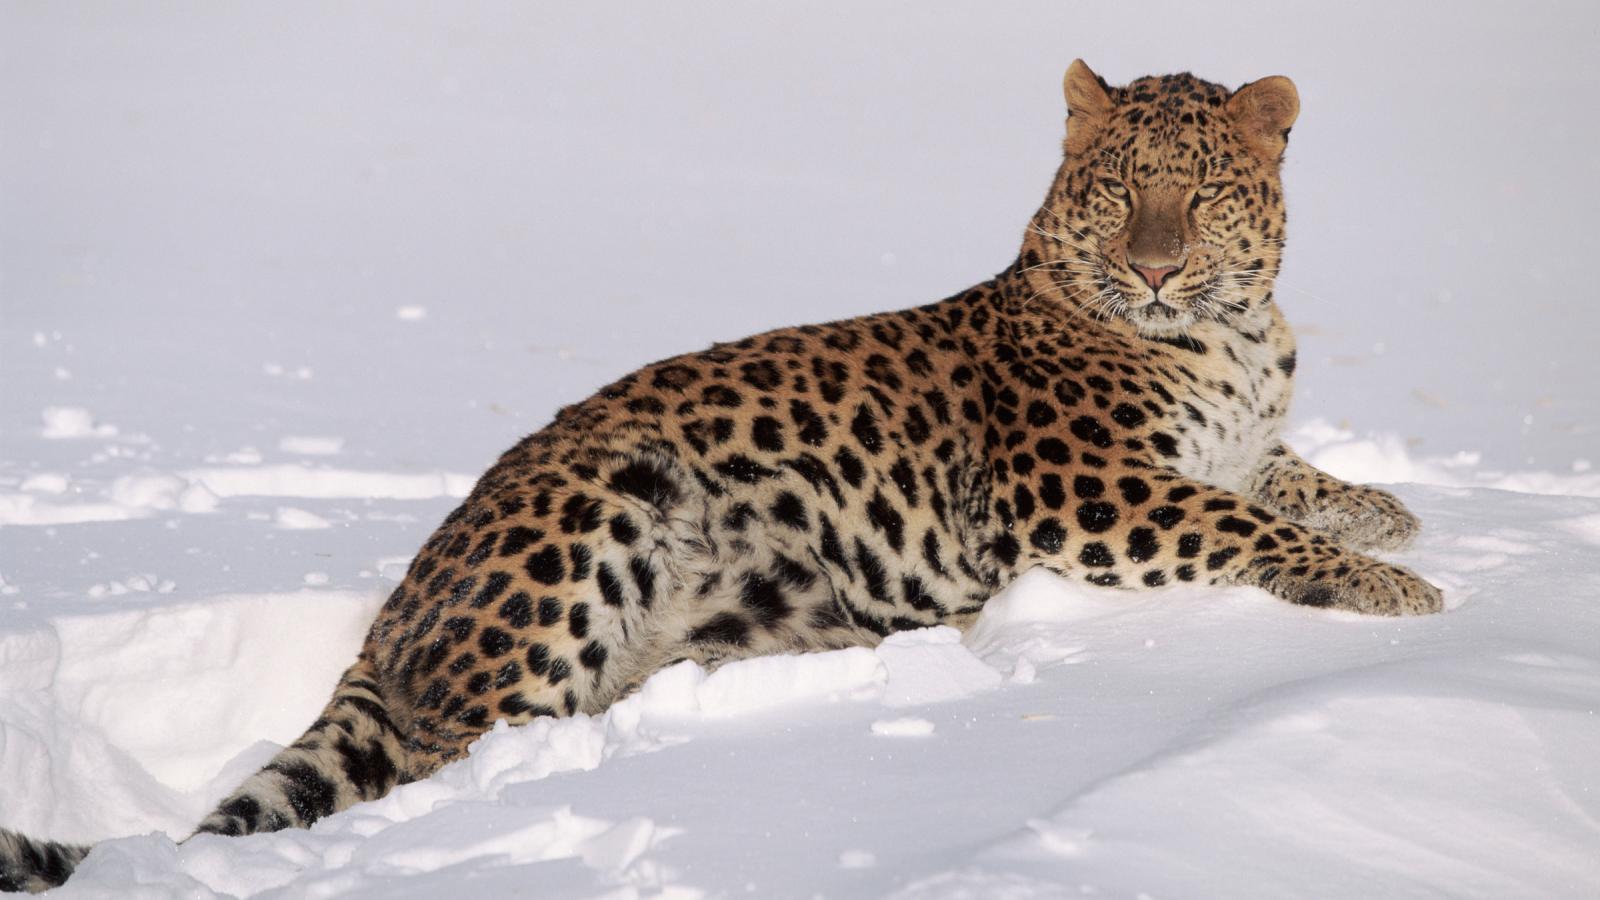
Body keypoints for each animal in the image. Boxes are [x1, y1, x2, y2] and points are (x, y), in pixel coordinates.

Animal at [0, 60, 1440, 893]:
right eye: (1115, 189)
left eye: (1200, 193)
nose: (1151, 264)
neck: (1233, 332)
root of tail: (401, 600)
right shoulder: (1083, 491)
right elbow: (1236, 522)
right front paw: (1394, 592)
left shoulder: (1233, 439)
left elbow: (1281, 477)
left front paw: (1390, 512)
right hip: (596, 511)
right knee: (449, 756)